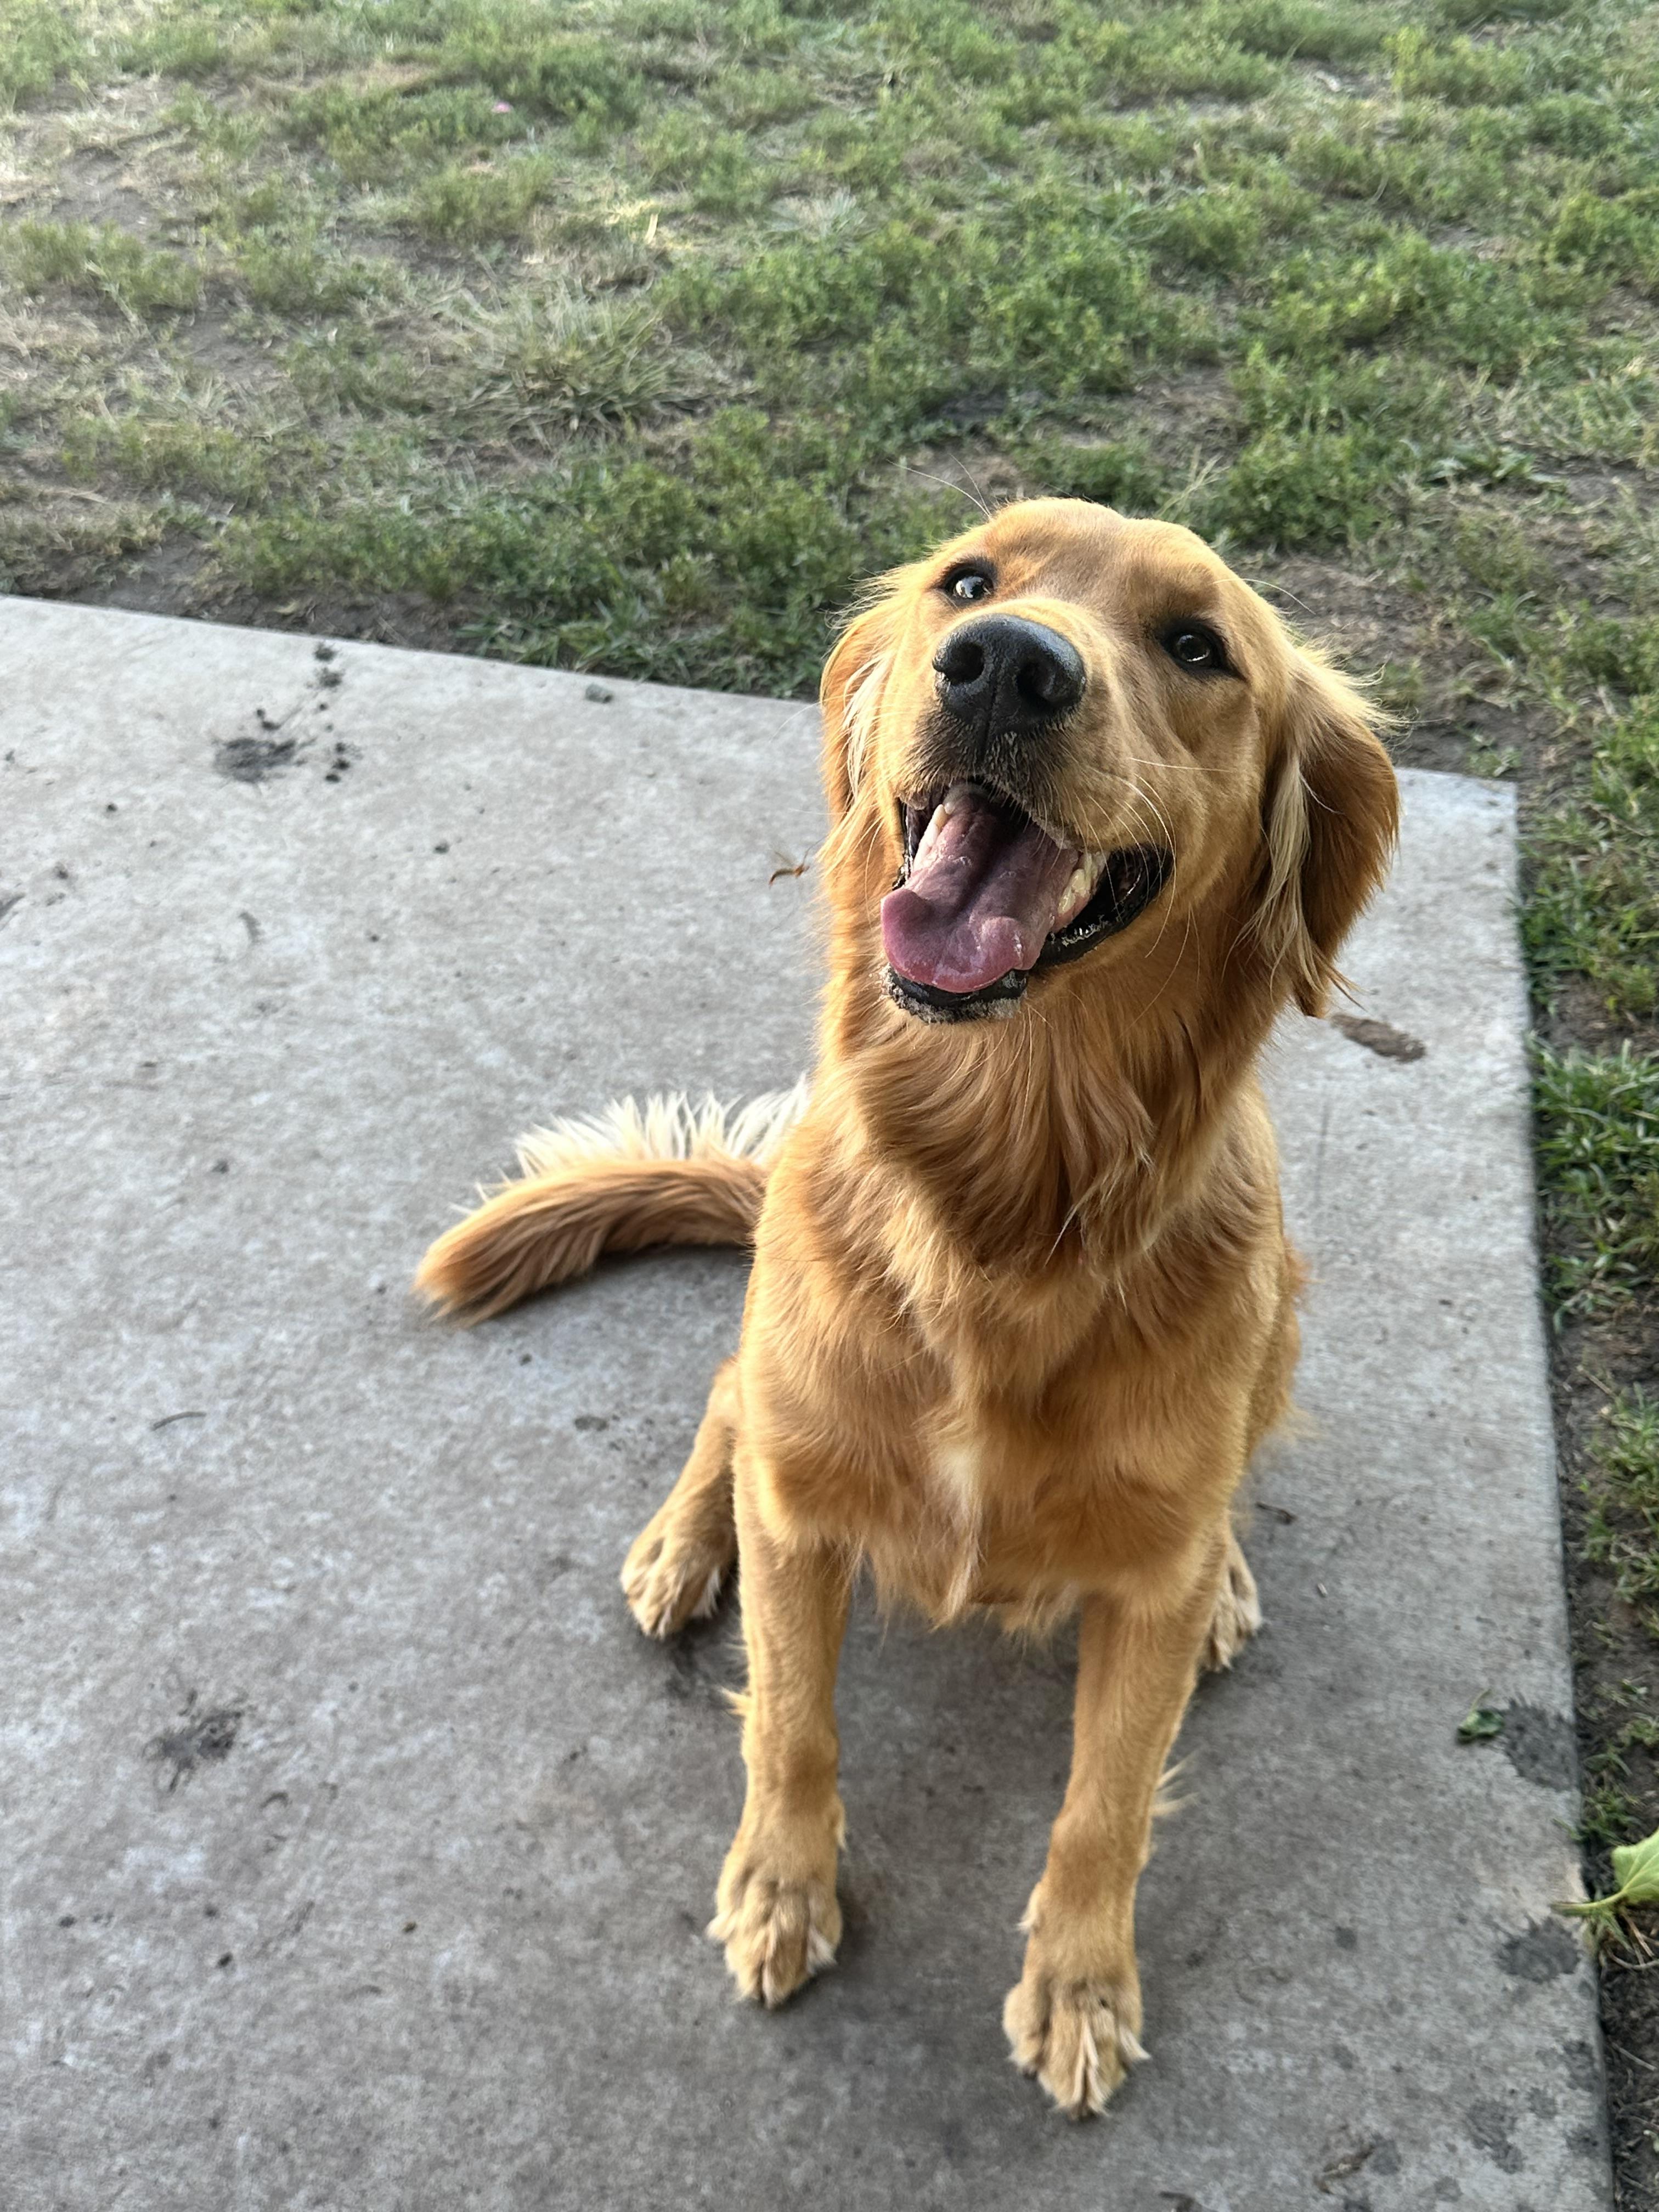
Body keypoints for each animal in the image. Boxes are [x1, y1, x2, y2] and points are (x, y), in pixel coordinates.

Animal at [416, 497, 1399, 2118]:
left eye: (1199, 646)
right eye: (970, 579)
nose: (1005, 667)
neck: (1004, 1197)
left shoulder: (1139, 1590)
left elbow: (1107, 1802)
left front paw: (1081, 1985)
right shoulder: (810, 1503)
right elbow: (791, 1726)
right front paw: (781, 1888)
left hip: (1287, 1317)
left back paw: (1232, 1581)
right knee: (726, 1400)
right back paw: (684, 1541)